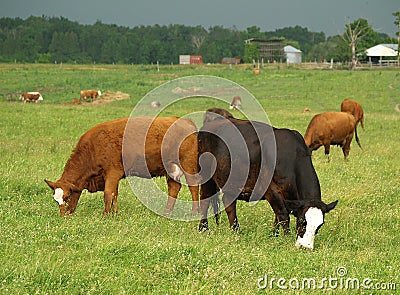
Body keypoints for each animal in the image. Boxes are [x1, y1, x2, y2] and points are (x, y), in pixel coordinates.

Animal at [45, 117, 200, 219]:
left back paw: (194, 212)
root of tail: (184, 120)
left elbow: (108, 194)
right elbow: (115, 195)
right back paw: (166, 213)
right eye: (55, 200)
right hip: (171, 168)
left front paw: (105, 216)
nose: (64, 216)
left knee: (193, 186)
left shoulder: (112, 173)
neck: (92, 148)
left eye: (67, 196)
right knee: (174, 188)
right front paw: (115, 214)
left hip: (188, 165)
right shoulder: (113, 177)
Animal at [197, 108, 338, 250]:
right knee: (205, 200)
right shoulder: (272, 190)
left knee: (229, 203)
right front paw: (286, 237)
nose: (306, 247)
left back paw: (235, 230)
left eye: (319, 226)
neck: (291, 158)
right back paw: (204, 229)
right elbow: (283, 215)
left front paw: (274, 235)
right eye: (302, 221)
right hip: (206, 176)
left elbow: (277, 216)